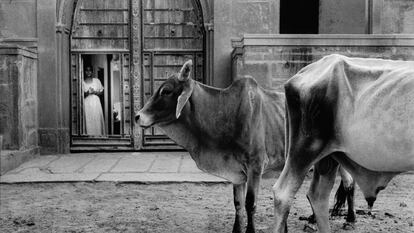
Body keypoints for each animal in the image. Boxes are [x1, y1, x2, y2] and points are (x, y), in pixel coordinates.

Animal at [136, 60, 356, 233]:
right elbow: (238, 204)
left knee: (348, 183)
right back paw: (313, 221)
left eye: (166, 90)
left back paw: (350, 220)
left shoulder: (255, 167)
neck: (227, 111)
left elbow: (250, 204)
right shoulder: (237, 171)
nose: (138, 116)